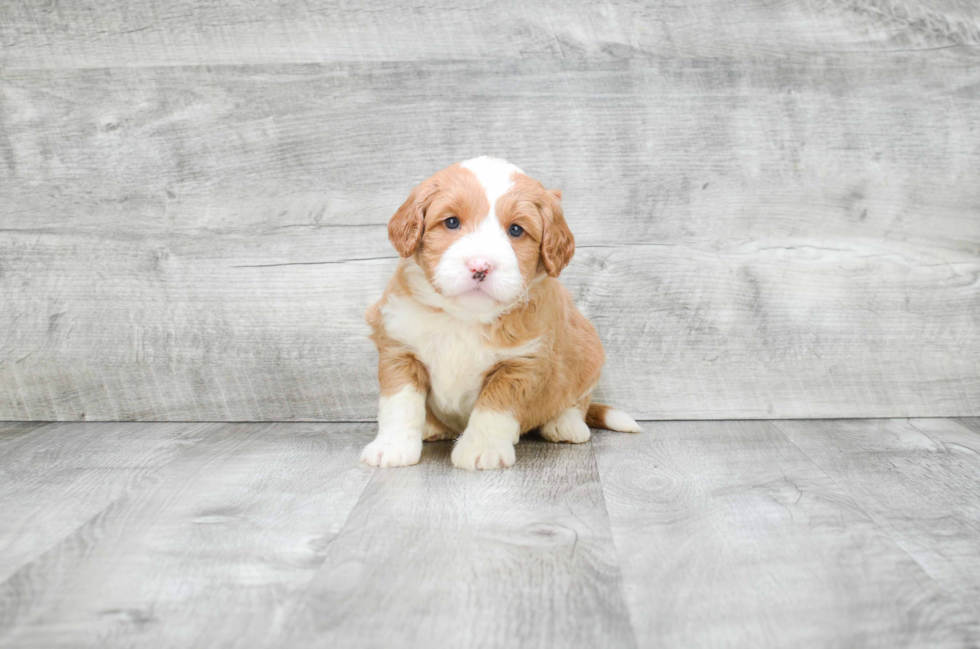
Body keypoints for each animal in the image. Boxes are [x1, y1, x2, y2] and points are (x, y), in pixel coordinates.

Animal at [360, 157, 644, 470]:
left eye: (516, 230)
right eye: (451, 222)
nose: (480, 266)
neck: (463, 317)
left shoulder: (520, 364)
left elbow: (493, 410)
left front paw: (482, 450)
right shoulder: (399, 348)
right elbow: (400, 404)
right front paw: (392, 447)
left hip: (588, 352)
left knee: (575, 400)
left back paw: (565, 424)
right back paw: (431, 427)